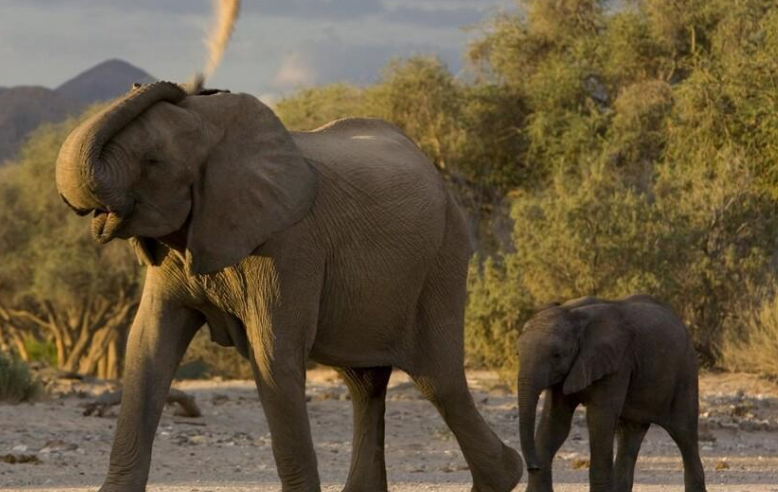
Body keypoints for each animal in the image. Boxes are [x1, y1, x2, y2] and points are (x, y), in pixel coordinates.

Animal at [54, 81, 523, 492]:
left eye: (154, 163)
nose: (167, 85)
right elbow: (148, 347)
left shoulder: (291, 246)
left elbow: (273, 357)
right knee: (366, 383)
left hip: (444, 257)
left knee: (437, 380)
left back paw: (506, 476)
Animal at [517, 294, 706, 492]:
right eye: (517, 354)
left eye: (556, 355)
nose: (533, 466)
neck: (574, 316)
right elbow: (554, 424)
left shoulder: (617, 364)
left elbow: (599, 421)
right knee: (629, 438)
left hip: (685, 374)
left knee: (684, 433)